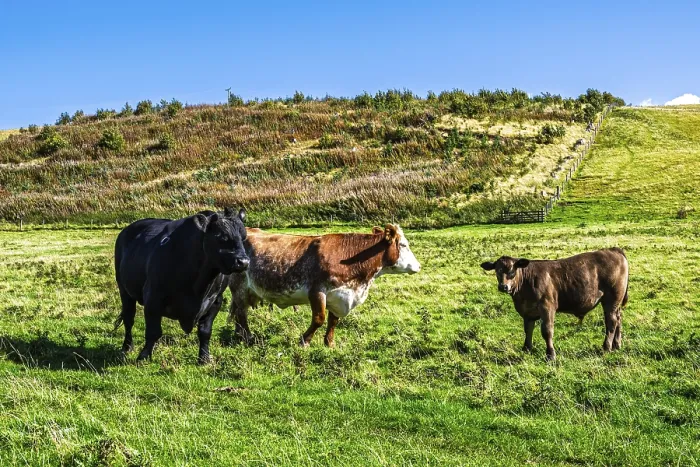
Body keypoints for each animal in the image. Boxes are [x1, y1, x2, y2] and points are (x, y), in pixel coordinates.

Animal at [114, 208, 249, 364]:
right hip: (124, 290)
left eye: (244, 237)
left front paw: (204, 358)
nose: (243, 262)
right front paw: (143, 357)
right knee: (128, 319)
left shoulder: (216, 301)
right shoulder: (153, 298)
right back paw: (127, 347)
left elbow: (205, 331)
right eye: (222, 237)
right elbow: (153, 332)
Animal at [228, 224, 421, 347]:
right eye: (404, 245)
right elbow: (319, 319)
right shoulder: (317, 291)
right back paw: (248, 337)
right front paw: (305, 340)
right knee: (241, 312)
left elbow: (333, 320)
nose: (418, 266)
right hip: (239, 286)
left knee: (238, 312)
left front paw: (330, 343)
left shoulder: (338, 296)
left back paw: (239, 335)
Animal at [480, 248, 629, 361]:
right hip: (616, 303)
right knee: (618, 319)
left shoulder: (547, 307)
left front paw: (550, 354)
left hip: (611, 300)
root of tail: (613, 250)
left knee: (611, 322)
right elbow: (528, 330)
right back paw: (617, 345)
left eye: (512, 270)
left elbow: (547, 331)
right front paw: (526, 349)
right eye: (497, 270)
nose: (503, 287)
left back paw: (606, 347)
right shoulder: (528, 312)